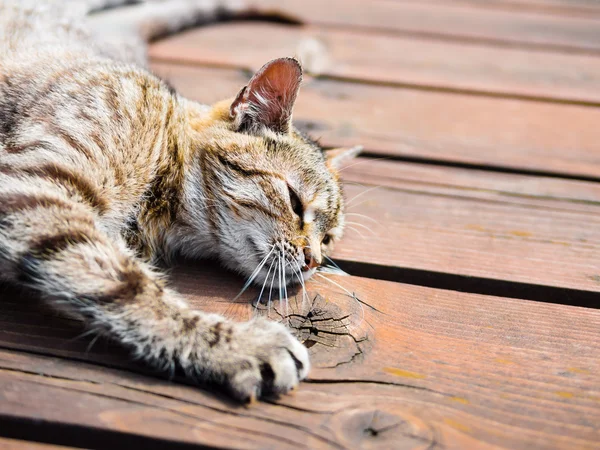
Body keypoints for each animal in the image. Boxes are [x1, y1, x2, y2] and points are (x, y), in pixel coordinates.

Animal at [0, 0, 360, 400]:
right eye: (295, 203)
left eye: (327, 239)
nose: (314, 260)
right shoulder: (38, 187)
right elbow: (133, 288)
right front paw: (238, 346)